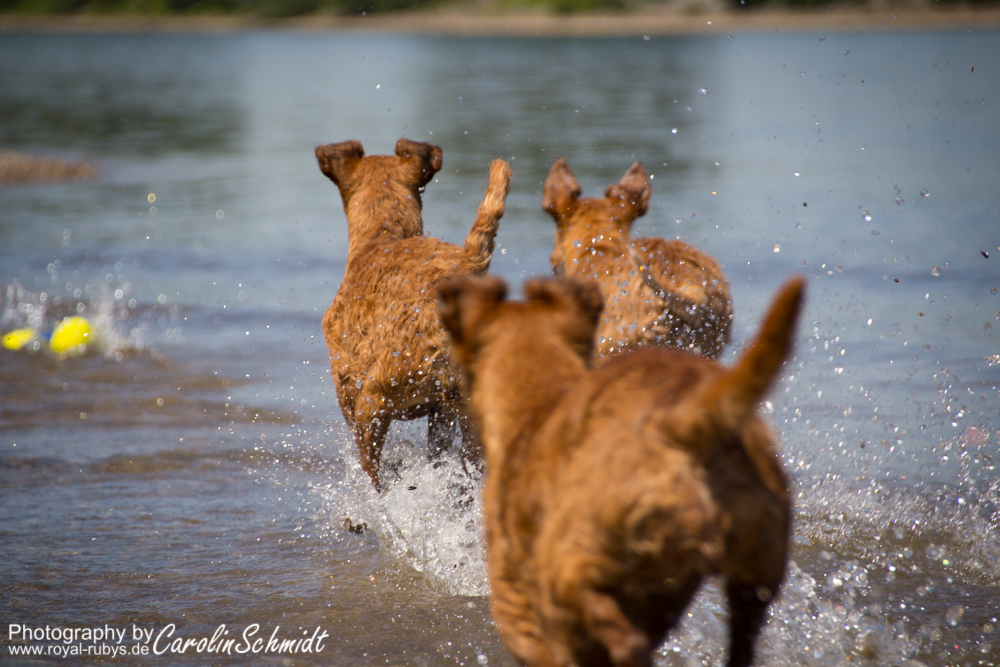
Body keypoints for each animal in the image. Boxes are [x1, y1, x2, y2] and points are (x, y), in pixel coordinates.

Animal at [315, 138, 511, 491]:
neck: (385, 234)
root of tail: (465, 269)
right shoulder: (442, 415)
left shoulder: (350, 394)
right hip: (472, 417)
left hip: (374, 400)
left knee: (375, 476)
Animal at [438, 274, 803, 667]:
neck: (538, 399)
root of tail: (682, 418)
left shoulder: (525, 622)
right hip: (759, 566)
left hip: (568, 565)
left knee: (622, 637)